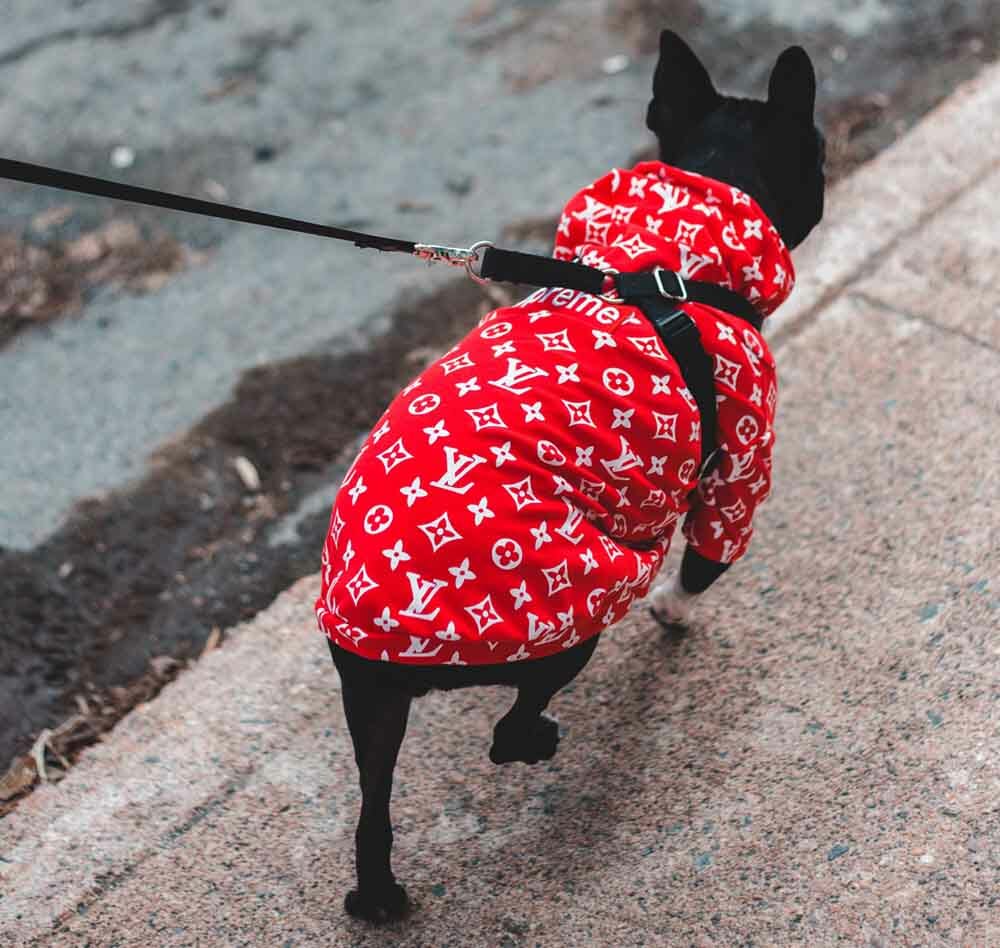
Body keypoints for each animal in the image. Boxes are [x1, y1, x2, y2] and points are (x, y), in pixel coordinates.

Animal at [324, 33, 824, 924]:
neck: (668, 268)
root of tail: (386, 634)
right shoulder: (740, 461)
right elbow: (707, 561)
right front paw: (677, 611)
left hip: (371, 702)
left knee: (373, 810)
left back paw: (378, 898)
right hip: (572, 614)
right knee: (512, 729)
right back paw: (539, 736)